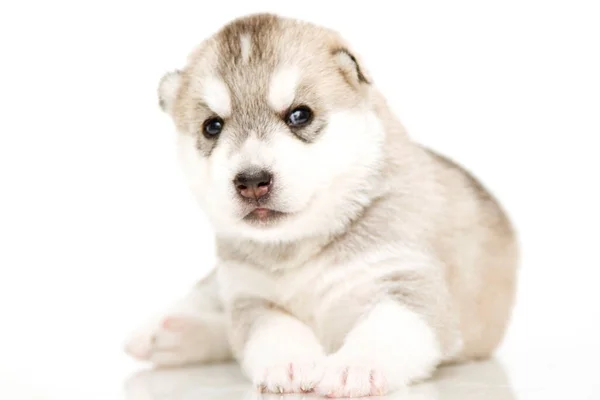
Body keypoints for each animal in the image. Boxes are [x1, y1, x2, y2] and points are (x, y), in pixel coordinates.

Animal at [124, 12, 516, 396]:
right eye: (212, 127)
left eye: (300, 115)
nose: (251, 182)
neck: (302, 246)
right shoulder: (250, 297)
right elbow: (273, 329)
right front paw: (288, 362)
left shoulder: (409, 283)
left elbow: (383, 329)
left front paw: (354, 367)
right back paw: (162, 332)